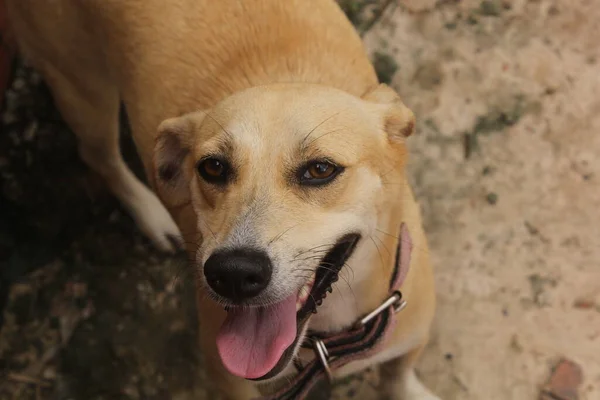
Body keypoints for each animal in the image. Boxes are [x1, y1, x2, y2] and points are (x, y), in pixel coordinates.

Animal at [5, 1, 440, 398]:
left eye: (320, 169)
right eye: (212, 167)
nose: (232, 273)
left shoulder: (409, 337)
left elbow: (398, 376)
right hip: (81, 88)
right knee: (98, 155)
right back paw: (150, 214)